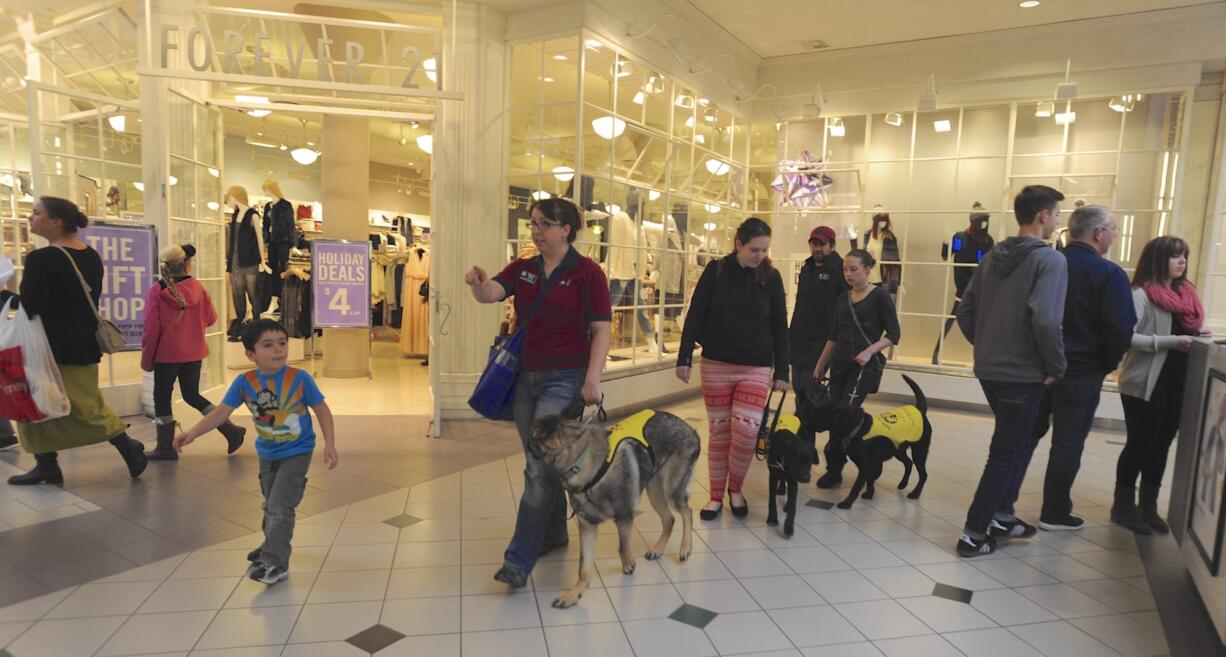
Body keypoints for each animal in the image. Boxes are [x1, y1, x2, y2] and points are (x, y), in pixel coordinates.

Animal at [527, 397, 701, 607]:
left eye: (532, 436)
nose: (526, 444)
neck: (582, 462)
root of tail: (690, 429)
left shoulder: (624, 517)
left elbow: (623, 547)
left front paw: (628, 565)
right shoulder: (587, 527)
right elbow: (583, 566)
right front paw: (575, 593)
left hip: (671, 490)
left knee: (687, 512)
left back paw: (686, 548)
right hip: (654, 493)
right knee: (669, 519)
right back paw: (658, 549)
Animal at [809, 375, 931, 507]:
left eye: (820, 413)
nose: (805, 421)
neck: (858, 428)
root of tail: (919, 410)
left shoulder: (865, 465)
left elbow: (857, 486)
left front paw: (846, 503)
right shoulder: (867, 464)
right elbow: (870, 480)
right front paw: (869, 494)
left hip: (919, 452)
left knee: (923, 474)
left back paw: (915, 494)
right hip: (898, 449)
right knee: (908, 463)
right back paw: (903, 484)